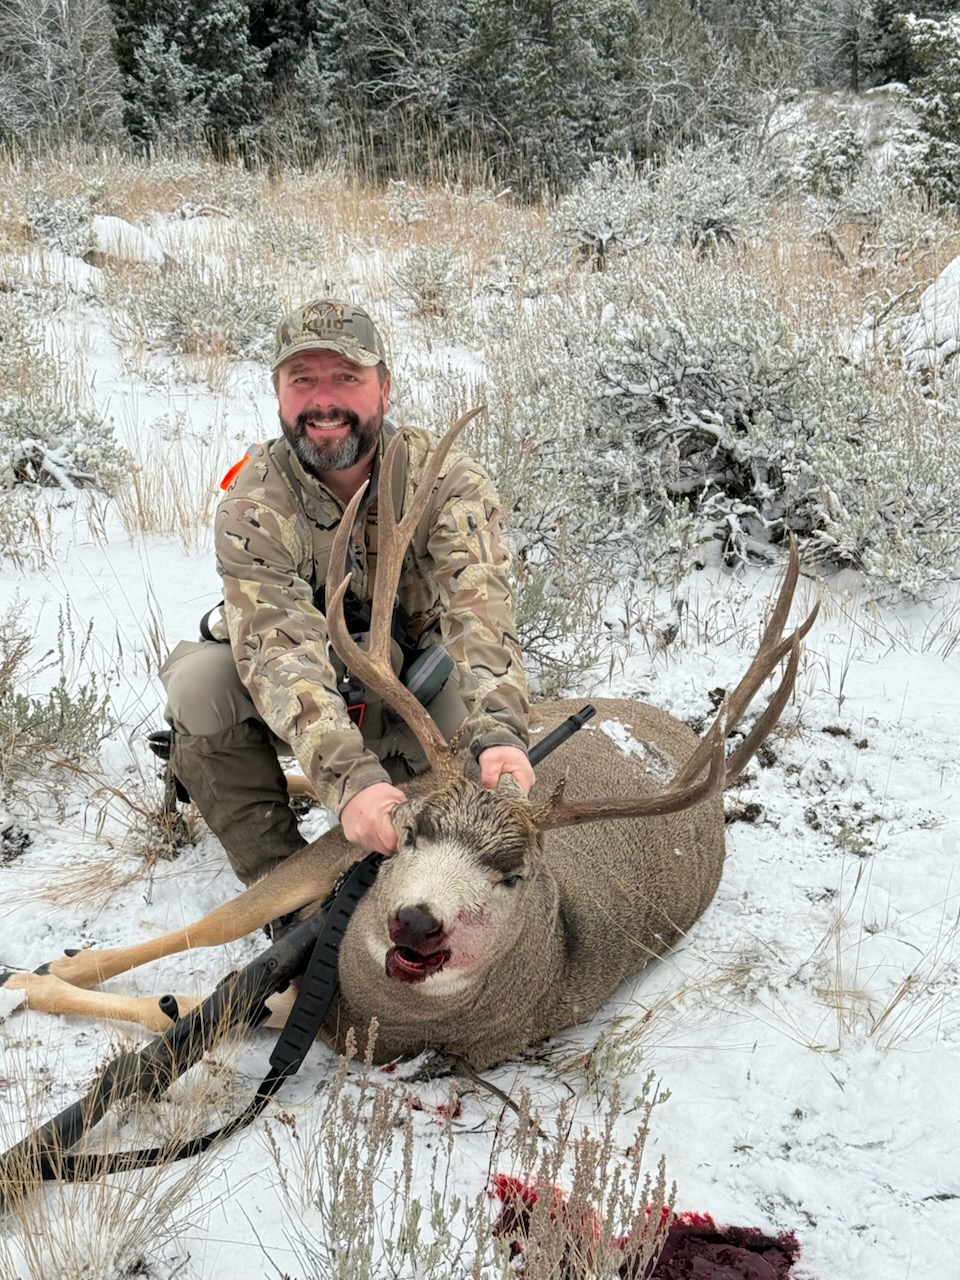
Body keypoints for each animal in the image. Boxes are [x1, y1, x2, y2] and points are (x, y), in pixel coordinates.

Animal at [1, 413, 817, 1072]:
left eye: (513, 876)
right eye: (414, 834)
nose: (416, 920)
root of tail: (676, 728)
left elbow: (179, 1011)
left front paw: (34, 980)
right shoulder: (346, 847)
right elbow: (214, 927)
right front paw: (49, 970)